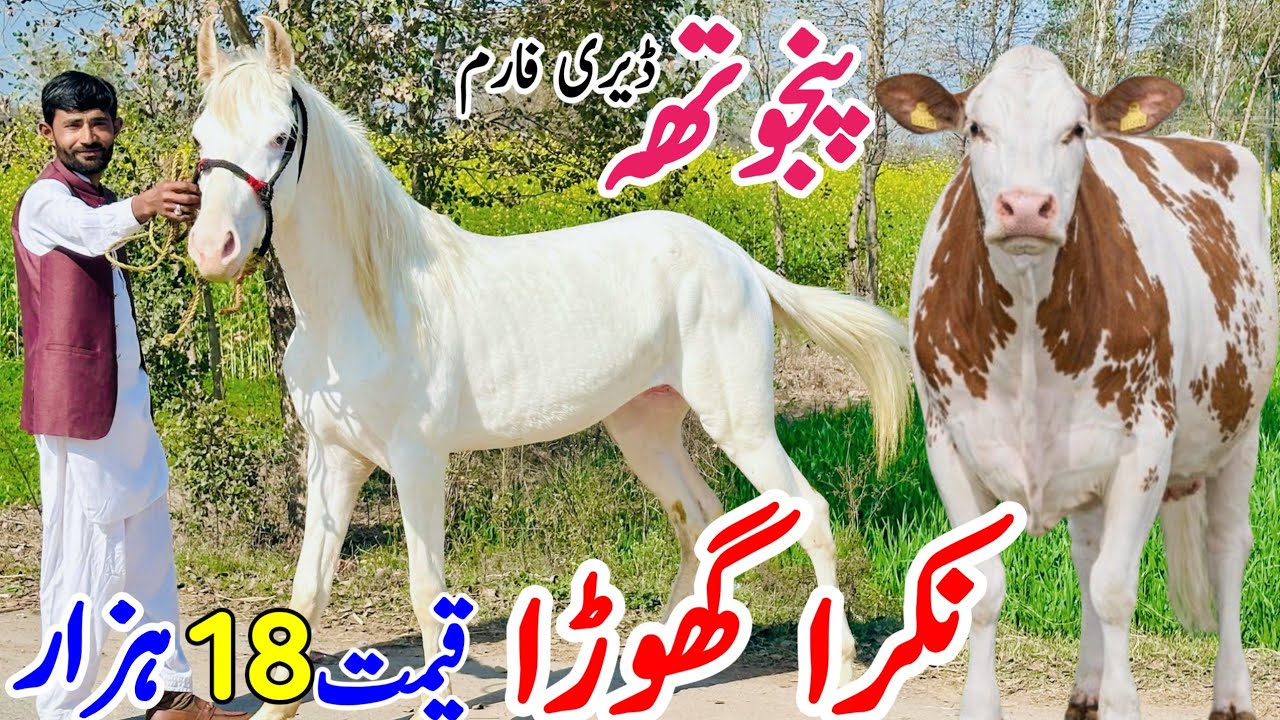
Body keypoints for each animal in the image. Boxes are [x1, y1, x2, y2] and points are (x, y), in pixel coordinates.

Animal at [186, 16, 912, 717]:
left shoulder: (417, 460)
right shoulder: (334, 458)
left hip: (742, 425)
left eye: (281, 136)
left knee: (809, 512)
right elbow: (306, 592)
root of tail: (737, 259)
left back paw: (839, 667)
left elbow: (426, 592)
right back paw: (649, 668)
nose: (214, 249)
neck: (368, 305)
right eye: (200, 137)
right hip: (644, 429)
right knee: (700, 522)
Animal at [875, 47, 1278, 720]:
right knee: (1087, 552)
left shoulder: (1147, 445)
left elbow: (1115, 590)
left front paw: (1122, 703)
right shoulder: (948, 444)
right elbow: (988, 588)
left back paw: (1232, 696)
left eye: (1077, 129)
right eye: (975, 128)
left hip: (1239, 431)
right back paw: (1085, 689)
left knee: (1226, 550)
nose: (1025, 206)